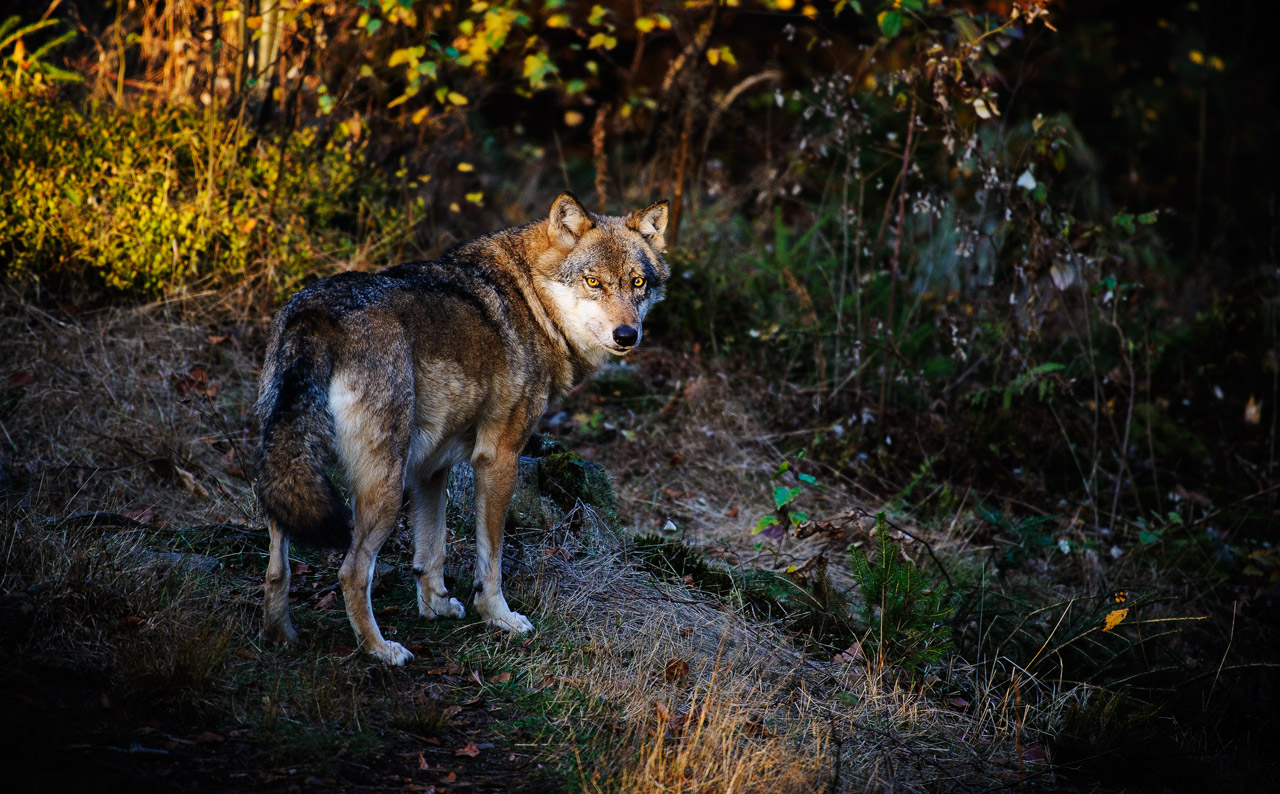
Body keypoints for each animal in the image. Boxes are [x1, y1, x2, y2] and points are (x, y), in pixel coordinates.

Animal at [253, 192, 669, 664]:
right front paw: (499, 617)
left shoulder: (431, 467)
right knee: (350, 572)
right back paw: (380, 649)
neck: (533, 302)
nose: (627, 335)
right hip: (384, 489)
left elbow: (430, 551)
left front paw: (435, 605)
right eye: (594, 282)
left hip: (292, 469)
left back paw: (280, 634)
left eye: (637, 282)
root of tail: (315, 313)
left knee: (277, 567)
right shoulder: (497, 457)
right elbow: (491, 559)